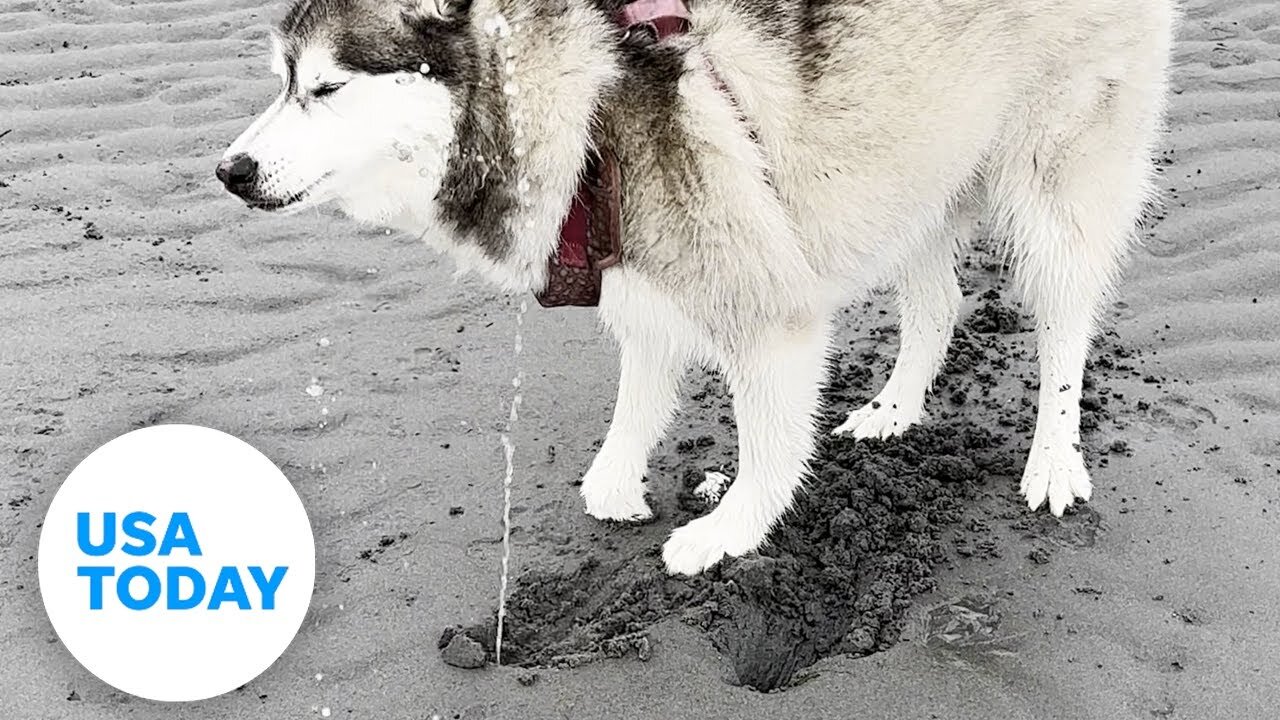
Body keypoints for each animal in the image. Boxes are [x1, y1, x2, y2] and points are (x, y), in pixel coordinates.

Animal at [220, 0, 1172, 571]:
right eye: (282, 82)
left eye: (327, 87)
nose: (229, 171)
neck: (585, 107)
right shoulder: (643, 291)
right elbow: (637, 404)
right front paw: (617, 485)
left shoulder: (769, 313)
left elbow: (770, 447)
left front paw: (729, 532)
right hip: (912, 175)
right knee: (939, 303)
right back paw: (896, 409)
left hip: (1053, 187)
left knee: (1064, 329)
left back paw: (1054, 460)